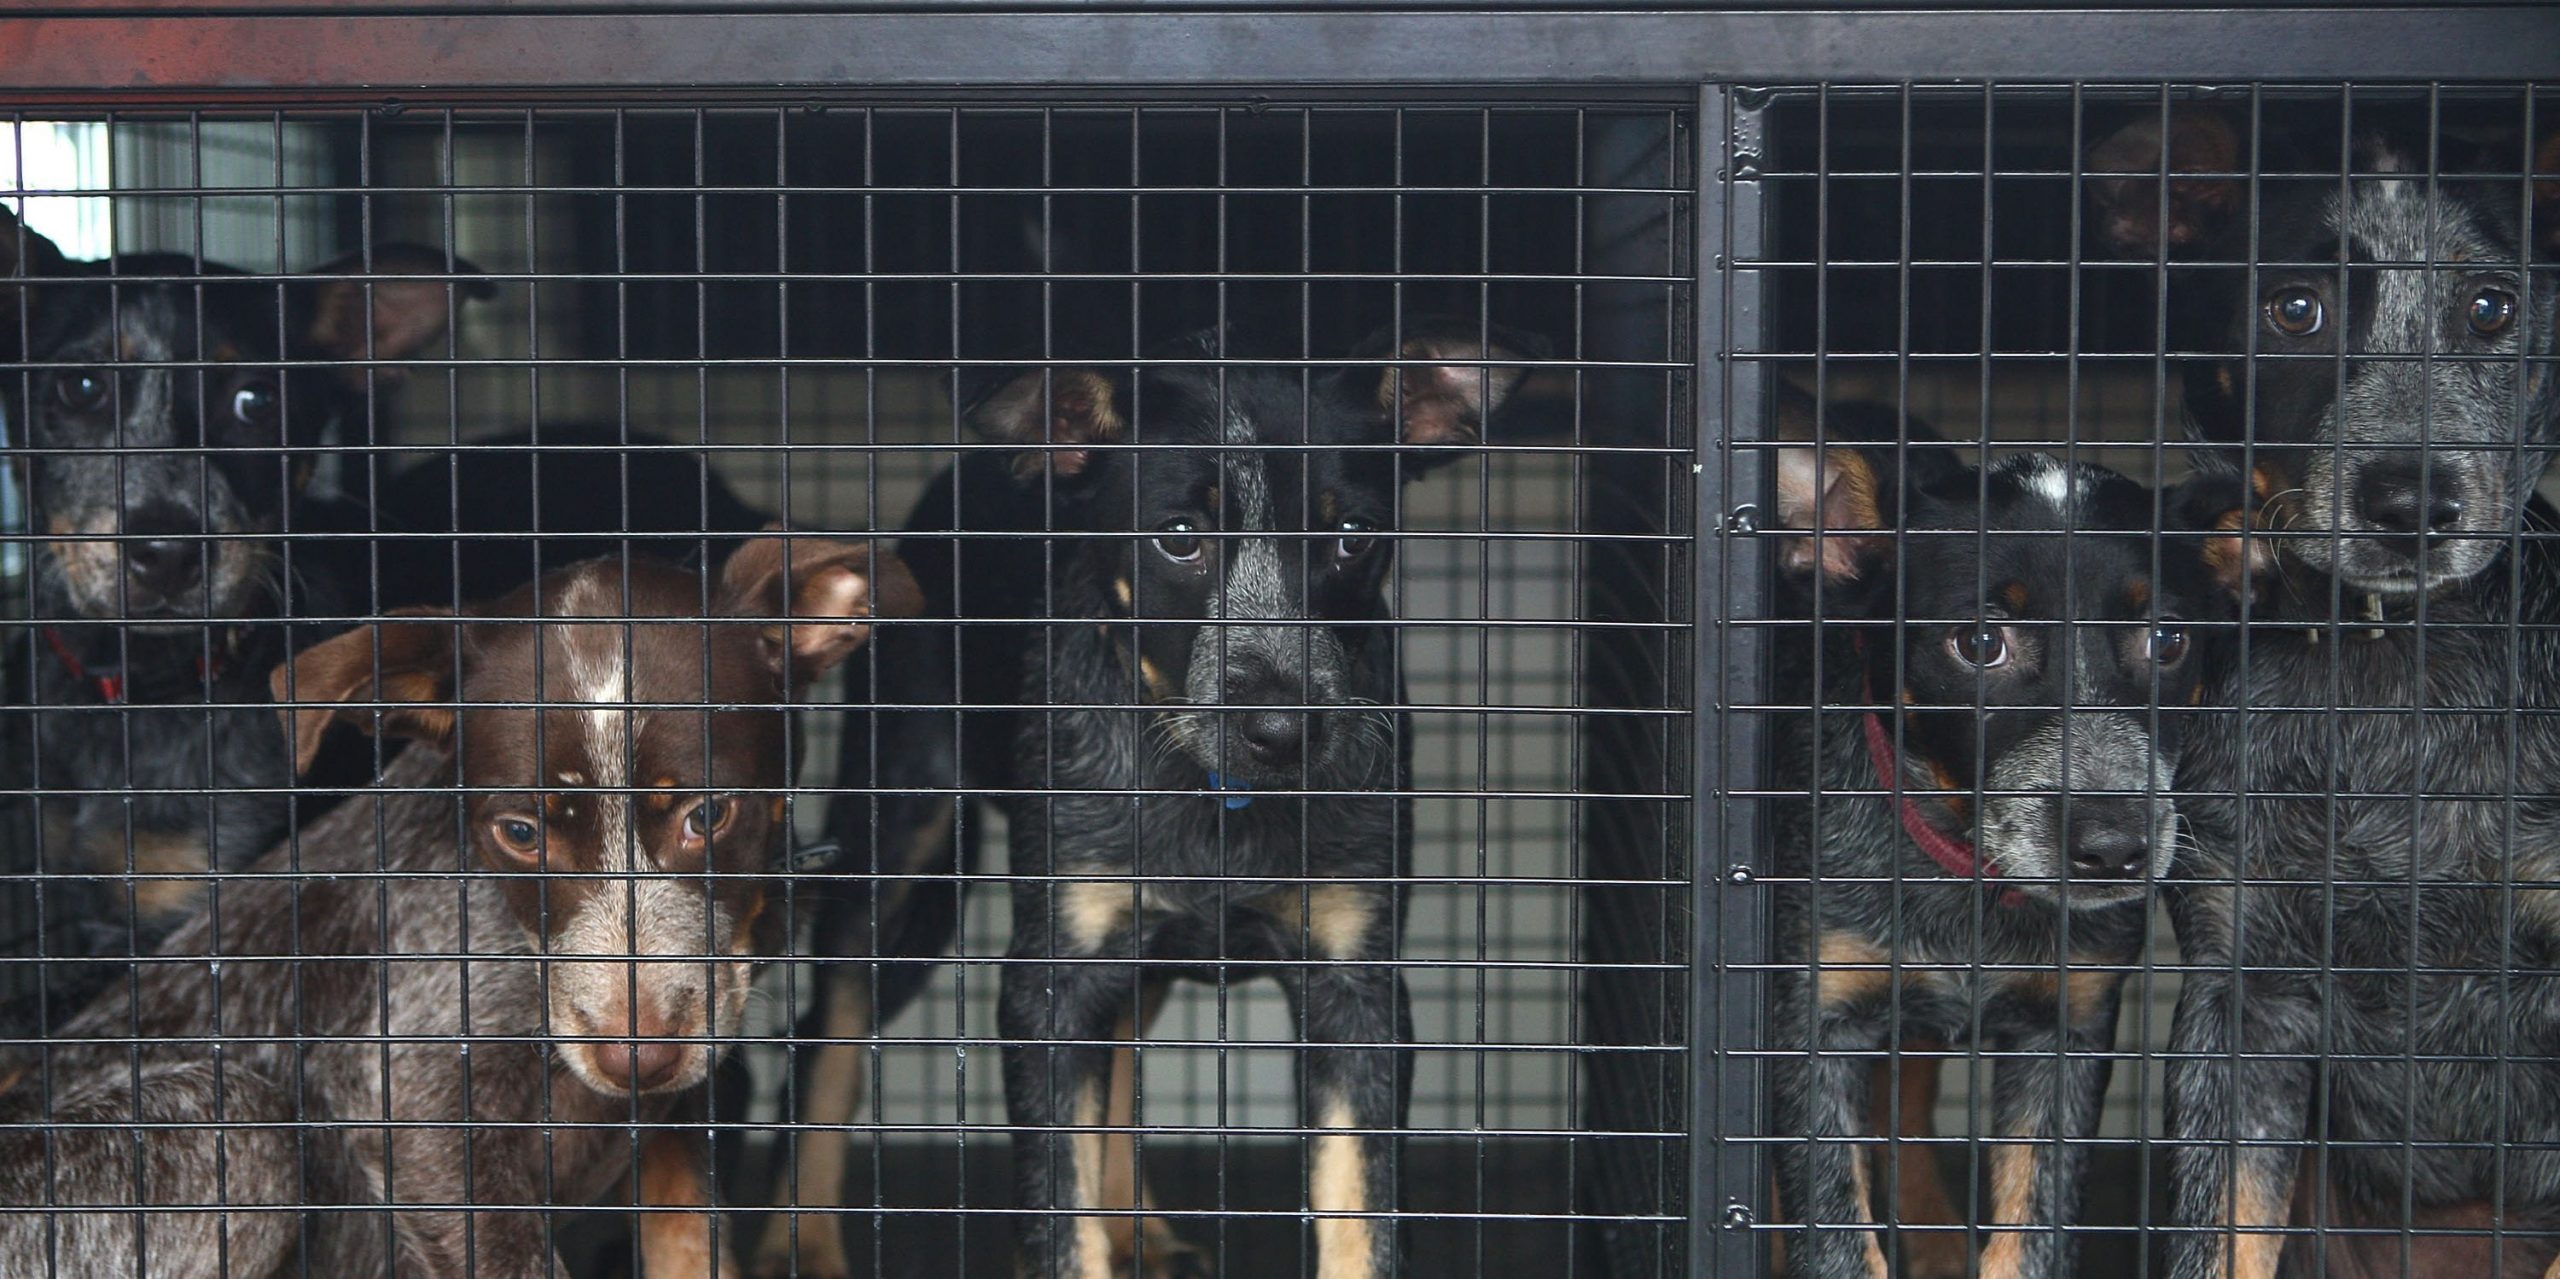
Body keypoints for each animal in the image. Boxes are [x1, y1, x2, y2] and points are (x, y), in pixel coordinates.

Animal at [1761, 388, 2242, 1279]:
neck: (1966, 872)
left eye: (2167, 638)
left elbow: (2032, 1230)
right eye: (1980, 642)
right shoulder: (1814, 1014)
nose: (2114, 846)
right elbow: (1836, 1233)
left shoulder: (2069, 1028)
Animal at [2088, 107, 2560, 1279]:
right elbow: (2220, 1236)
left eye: (2491, 306)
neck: (2387, 670)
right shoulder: (2243, 1002)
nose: (2411, 500)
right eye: (2292, 308)